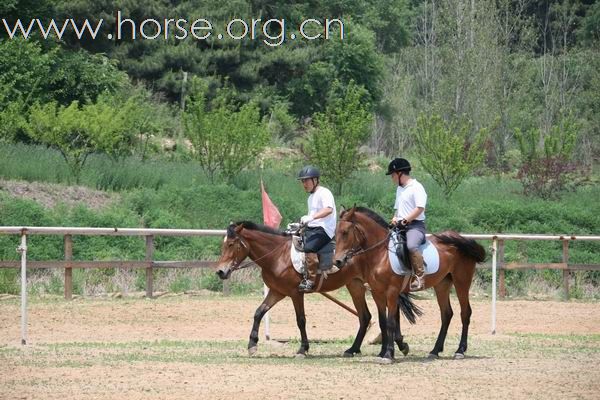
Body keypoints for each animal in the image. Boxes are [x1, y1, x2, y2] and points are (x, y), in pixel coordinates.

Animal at [217, 220, 422, 358]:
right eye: (223, 244)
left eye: (231, 244)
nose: (221, 271)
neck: (277, 255)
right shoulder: (277, 292)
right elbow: (259, 312)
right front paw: (252, 344)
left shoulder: (295, 293)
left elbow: (300, 320)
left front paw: (303, 349)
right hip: (355, 285)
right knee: (366, 317)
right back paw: (356, 349)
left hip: (373, 286)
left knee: (388, 312)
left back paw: (394, 346)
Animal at [336, 208, 486, 364]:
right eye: (336, 232)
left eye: (345, 232)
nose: (338, 261)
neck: (381, 254)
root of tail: (461, 239)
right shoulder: (377, 292)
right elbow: (383, 322)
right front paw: (384, 352)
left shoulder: (392, 292)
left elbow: (391, 322)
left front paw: (388, 354)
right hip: (442, 284)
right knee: (446, 314)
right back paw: (435, 351)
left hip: (461, 281)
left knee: (465, 313)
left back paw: (460, 350)